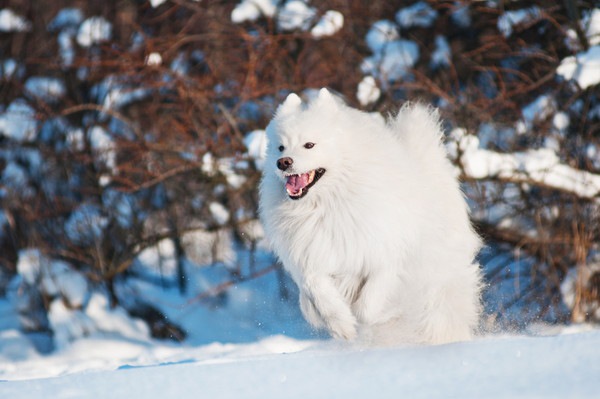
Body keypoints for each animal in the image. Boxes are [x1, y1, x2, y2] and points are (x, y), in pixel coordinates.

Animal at [258, 89, 482, 346]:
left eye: (309, 145)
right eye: (280, 147)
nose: (283, 162)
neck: (325, 205)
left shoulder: (385, 257)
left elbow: (367, 307)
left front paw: (380, 315)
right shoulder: (312, 259)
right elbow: (319, 294)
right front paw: (342, 326)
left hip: (438, 281)